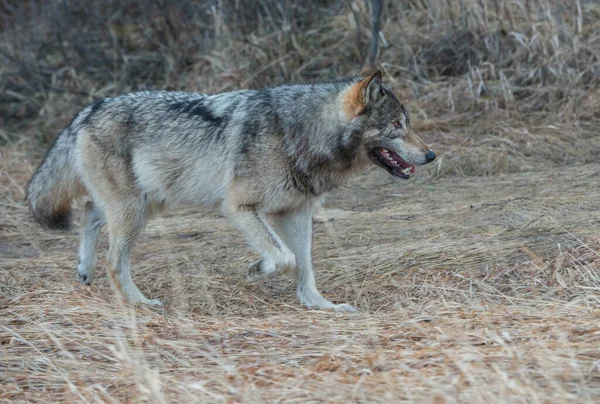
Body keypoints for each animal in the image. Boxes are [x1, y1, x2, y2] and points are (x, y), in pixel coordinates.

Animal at [24, 62, 436, 310]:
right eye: (396, 126)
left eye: (407, 124)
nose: (431, 155)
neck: (300, 134)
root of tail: (87, 110)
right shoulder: (240, 207)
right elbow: (284, 257)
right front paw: (257, 269)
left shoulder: (297, 213)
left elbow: (304, 265)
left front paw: (321, 305)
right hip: (134, 212)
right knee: (114, 259)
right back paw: (138, 303)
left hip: (145, 204)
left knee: (89, 214)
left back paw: (85, 269)